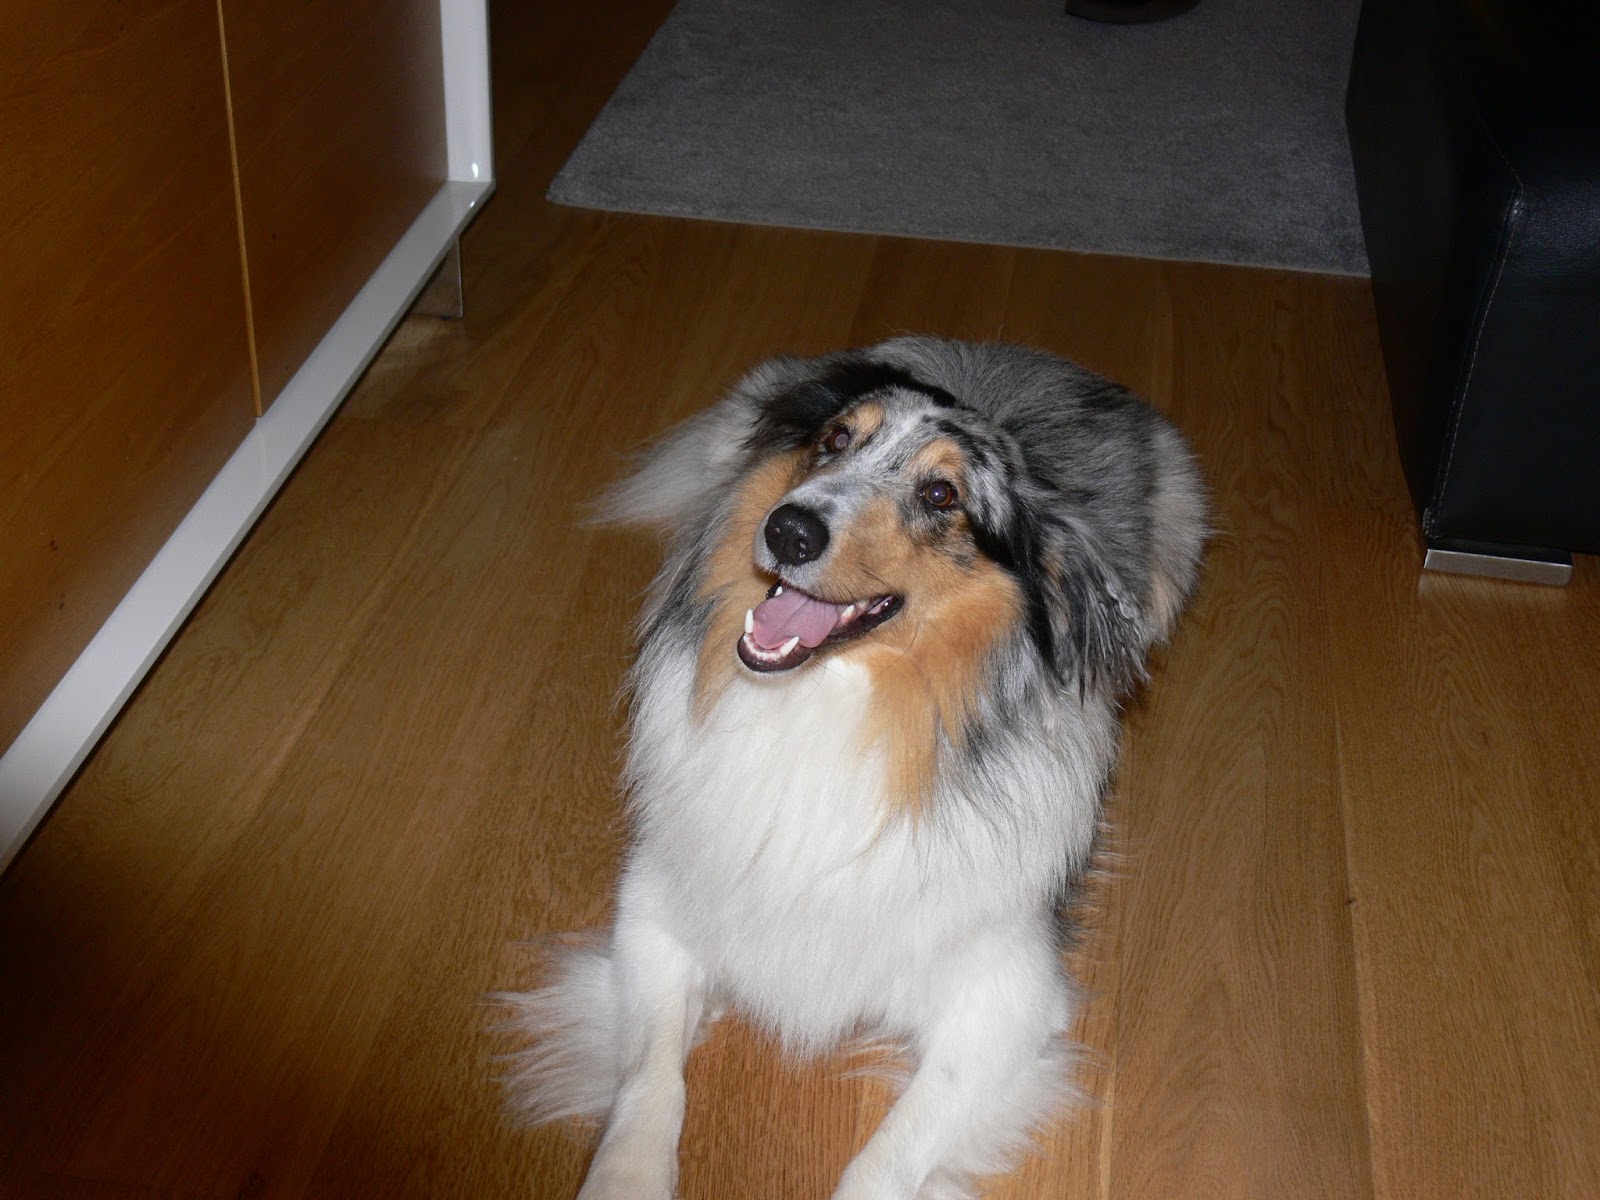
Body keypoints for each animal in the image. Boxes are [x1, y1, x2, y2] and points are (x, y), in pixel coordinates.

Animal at [496, 337, 1207, 1199]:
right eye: (836, 440)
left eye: (941, 493)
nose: (790, 530)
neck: (829, 706)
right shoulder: (656, 911)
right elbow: (648, 1078)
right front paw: (624, 1179)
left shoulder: (1004, 999)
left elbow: (889, 1151)